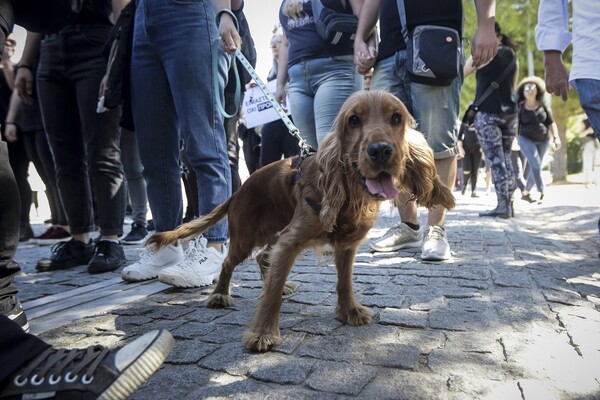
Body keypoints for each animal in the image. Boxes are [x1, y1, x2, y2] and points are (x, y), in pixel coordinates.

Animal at [146, 90, 454, 350]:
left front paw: (349, 311)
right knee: (229, 263)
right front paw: (263, 333)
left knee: (264, 258)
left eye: (396, 118)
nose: (380, 150)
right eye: (353, 120)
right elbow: (271, 296)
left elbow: (344, 281)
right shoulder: (291, 240)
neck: (348, 194)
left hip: (274, 231)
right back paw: (220, 295)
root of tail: (238, 190)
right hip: (247, 236)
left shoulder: (345, 246)